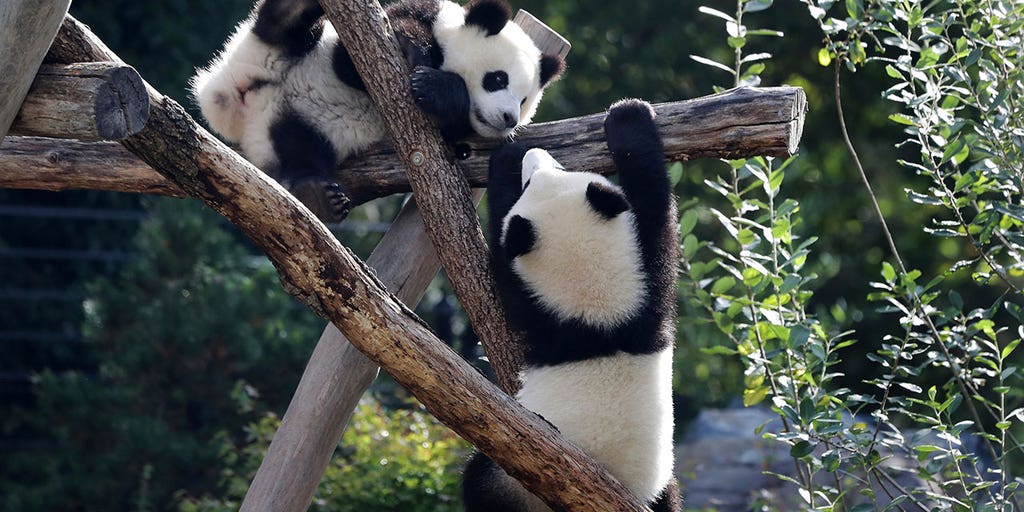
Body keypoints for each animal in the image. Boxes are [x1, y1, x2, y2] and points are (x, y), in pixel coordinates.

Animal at [191, 0, 565, 221]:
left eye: (524, 100)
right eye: (498, 79)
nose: (508, 119)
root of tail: (240, 102)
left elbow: (451, 129)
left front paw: (437, 90)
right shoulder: (401, 23)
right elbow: (350, 63)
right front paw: (415, 53)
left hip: (292, 127)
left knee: (300, 151)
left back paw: (318, 196)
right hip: (271, 52)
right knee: (284, 30)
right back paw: (294, 8)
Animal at [462, 98, 682, 512]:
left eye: (531, 182)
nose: (534, 154)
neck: (598, 310)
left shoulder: (536, 308)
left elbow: (501, 261)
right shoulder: (649, 286)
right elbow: (656, 207)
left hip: (514, 476)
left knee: (479, 480)